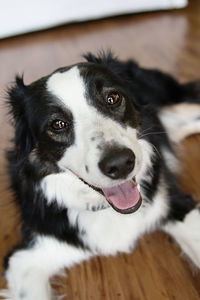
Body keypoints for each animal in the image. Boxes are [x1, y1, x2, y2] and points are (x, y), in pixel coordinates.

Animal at [0, 53, 200, 300]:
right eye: (57, 124)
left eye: (113, 98)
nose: (121, 164)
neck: (107, 210)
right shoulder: (26, 257)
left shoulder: (176, 204)